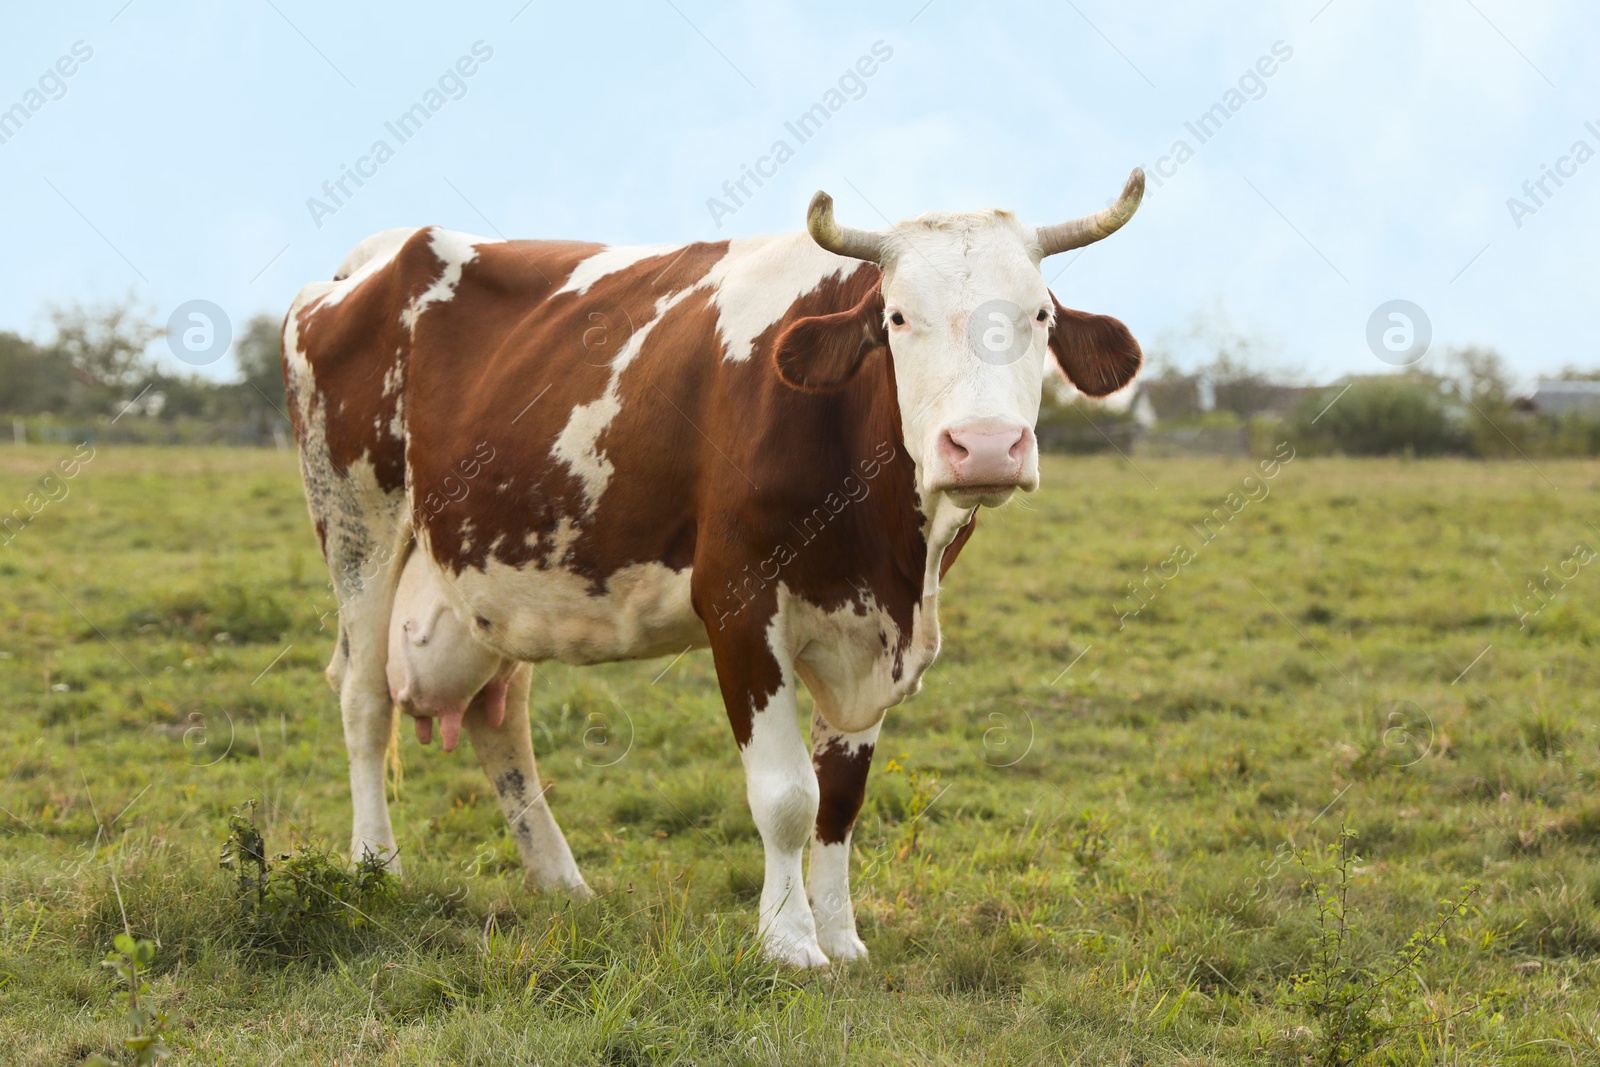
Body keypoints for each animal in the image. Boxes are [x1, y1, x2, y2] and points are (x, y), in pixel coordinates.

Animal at [281, 171, 1145, 972]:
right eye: (898, 317)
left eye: (1040, 315)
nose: (987, 446)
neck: (890, 552)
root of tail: (376, 257)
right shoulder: (740, 601)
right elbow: (788, 795)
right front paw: (790, 941)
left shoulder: (869, 628)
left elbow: (841, 798)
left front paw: (842, 936)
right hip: (356, 522)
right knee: (363, 698)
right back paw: (376, 865)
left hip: (497, 571)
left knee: (502, 717)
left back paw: (561, 882)